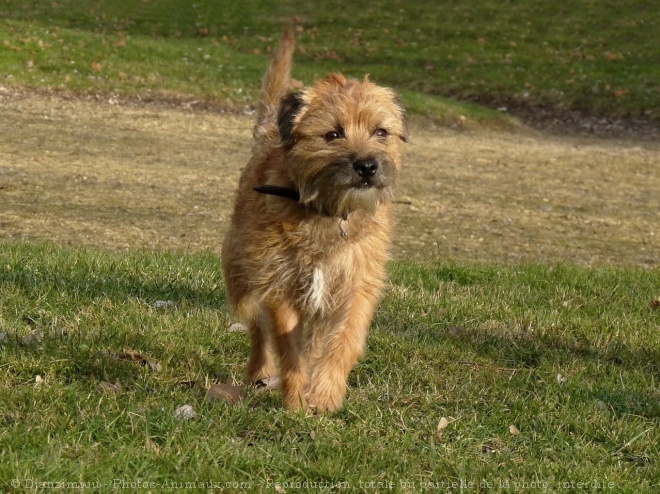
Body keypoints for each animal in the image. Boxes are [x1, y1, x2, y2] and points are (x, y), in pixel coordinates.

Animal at [223, 27, 408, 412]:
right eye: (332, 134)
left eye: (380, 132)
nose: (367, 166)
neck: (326, 213)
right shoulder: (280, 287)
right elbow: (288, 347)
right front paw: (294, 402)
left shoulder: (355, 286)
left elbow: (342, 343)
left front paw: (324, 394)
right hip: (241, 277)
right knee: (257, 327)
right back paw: (260, 371)